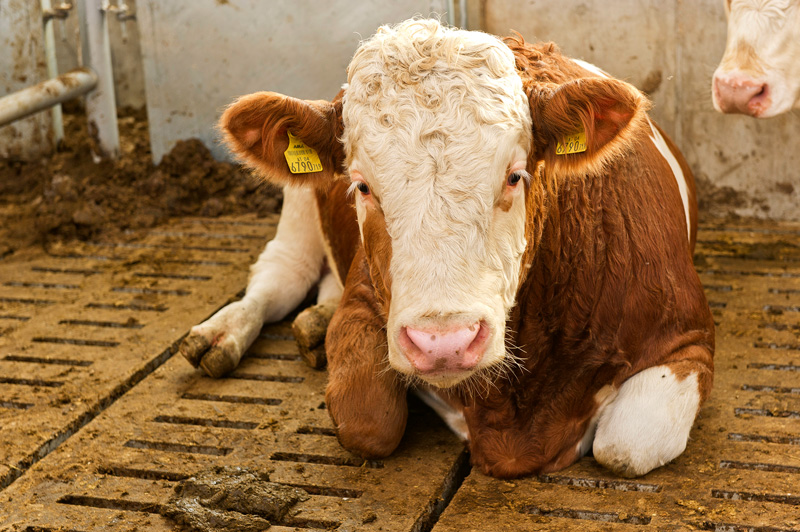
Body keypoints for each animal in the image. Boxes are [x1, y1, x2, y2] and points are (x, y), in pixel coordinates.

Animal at [180, 19, 712, 478]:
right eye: (361, 186)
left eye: (515, 175)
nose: (444, 343)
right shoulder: (366, 296)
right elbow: (366, 419)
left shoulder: (687, 338)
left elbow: (625, 447)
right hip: (295, 212)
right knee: (277, 280)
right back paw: (221, 335)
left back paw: (313, 324)